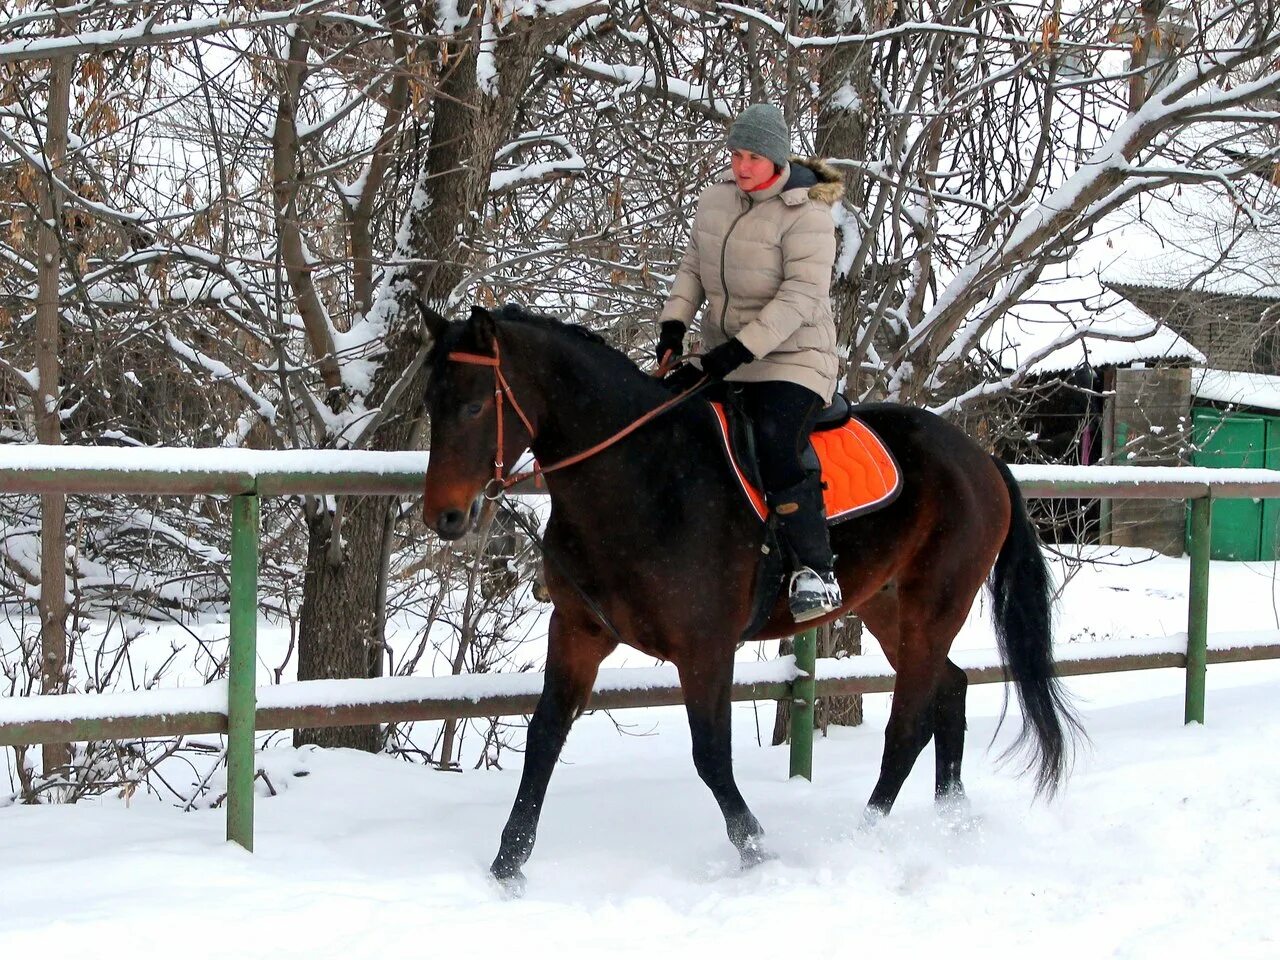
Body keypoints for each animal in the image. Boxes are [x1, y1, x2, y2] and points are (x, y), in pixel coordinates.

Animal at [422, 304, 1080, 890]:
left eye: (476, 404)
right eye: (432, 404)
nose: (443, 517)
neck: (644, 478)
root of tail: (980, 458)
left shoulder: (705, 648)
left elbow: (711, 756)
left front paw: (757, 852)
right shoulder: (579, 631)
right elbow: (544, 738)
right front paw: (508, 865)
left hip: (933, 605)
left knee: (910, 722)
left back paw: (865, 838)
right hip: (888, 605)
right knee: (951, 690)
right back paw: (952, 822)